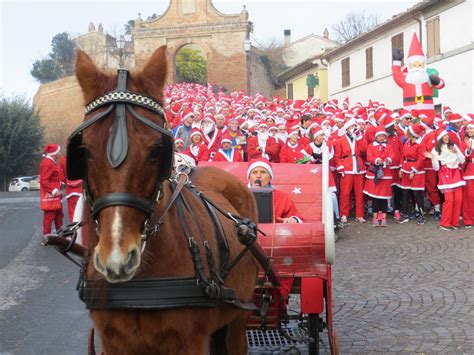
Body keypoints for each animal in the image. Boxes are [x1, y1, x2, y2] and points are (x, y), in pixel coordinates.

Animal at [74, 48, 260, 355]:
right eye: (85, 150)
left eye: (156, 150)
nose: (118, 258)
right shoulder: (114, 343)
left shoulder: (190, 342)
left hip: (239, 314)